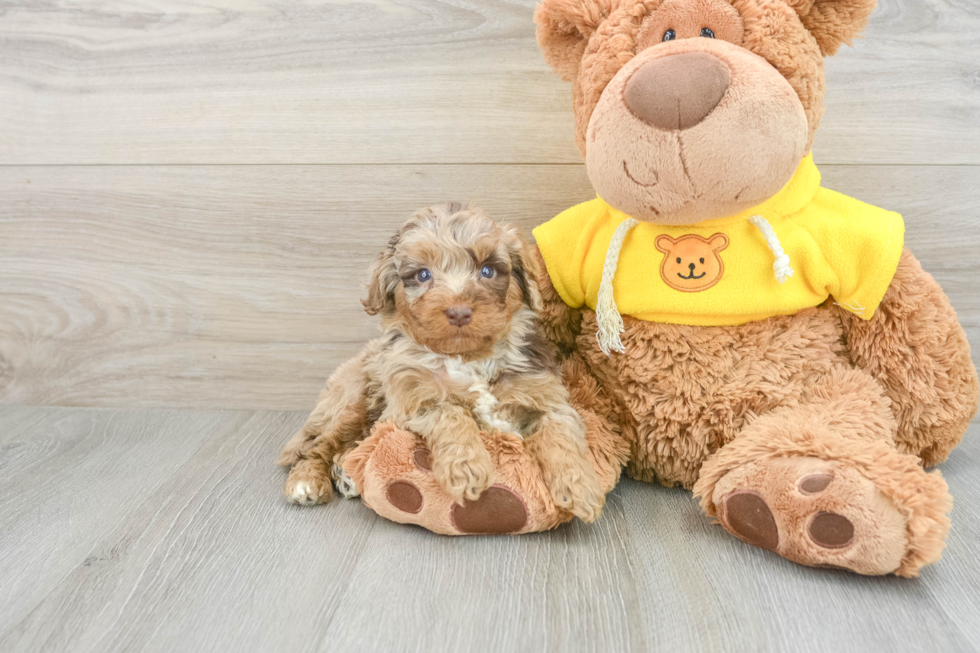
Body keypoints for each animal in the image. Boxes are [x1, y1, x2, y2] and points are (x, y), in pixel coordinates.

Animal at [278, 201, 604, 524]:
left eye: (487, 270)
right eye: (423, 275)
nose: (458, 311)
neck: (469, 358)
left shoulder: (546, 396)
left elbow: (560, 434)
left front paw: (580, 488)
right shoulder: (411, 401)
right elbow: (450, 412)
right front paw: (467, 467)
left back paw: (345, 473)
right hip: (353, 401)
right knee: (318, 446)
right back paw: (307, 482)